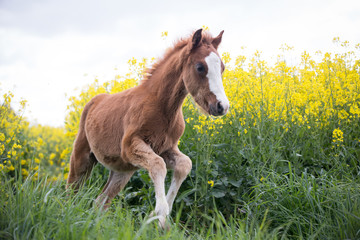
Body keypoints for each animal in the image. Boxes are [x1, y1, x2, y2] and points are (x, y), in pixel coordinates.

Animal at [67, 28, 231, 227]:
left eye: (222, 68)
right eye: (200, 67)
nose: (222, 106)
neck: (162, 106)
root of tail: (94, 101)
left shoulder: (166, 148)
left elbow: (184, 165)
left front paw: (160, 217)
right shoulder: (129, 146)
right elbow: (158, 165)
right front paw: (160, 212)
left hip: (122, 171)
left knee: (101, 201)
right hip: (81, 157)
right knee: (71, 192)